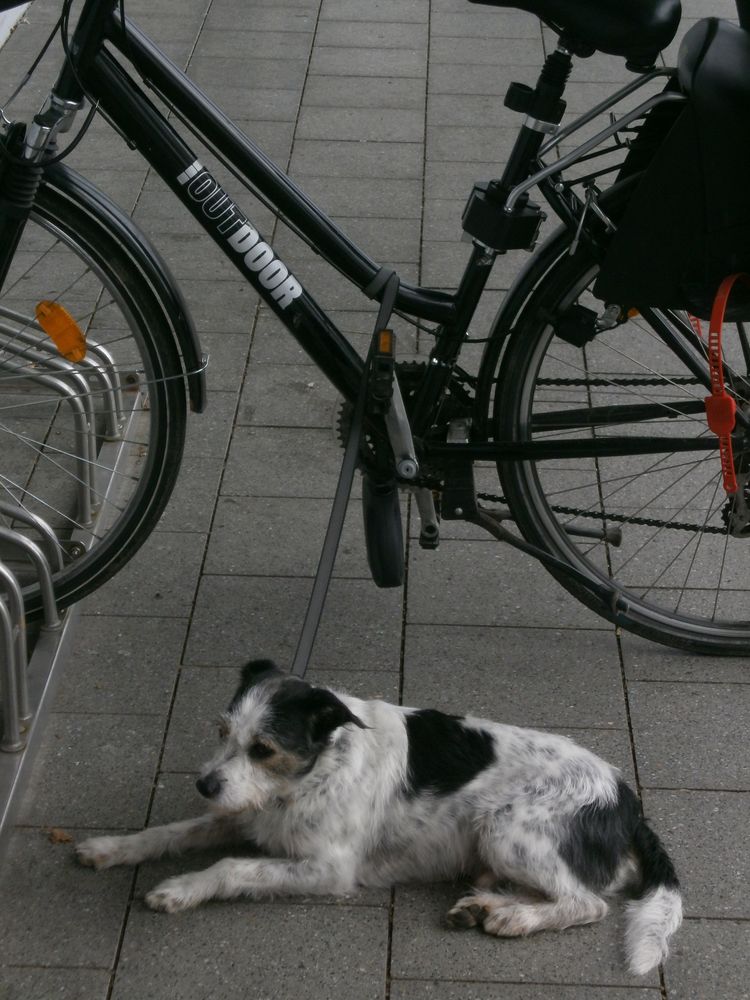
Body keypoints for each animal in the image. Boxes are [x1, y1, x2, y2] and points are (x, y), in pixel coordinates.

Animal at [75, 660, 680, 972]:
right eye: (222, 732)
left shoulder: (327, 869)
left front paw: (180, 889)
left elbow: (231, 867)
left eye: (263, 749)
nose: (203, 783)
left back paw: (513, 917)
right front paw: (111, 848)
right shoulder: (244, 811)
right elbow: (172, 831)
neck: (317, 769)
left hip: (507, 828)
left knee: (586, 903)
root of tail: (627, 801)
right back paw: (483, 904)